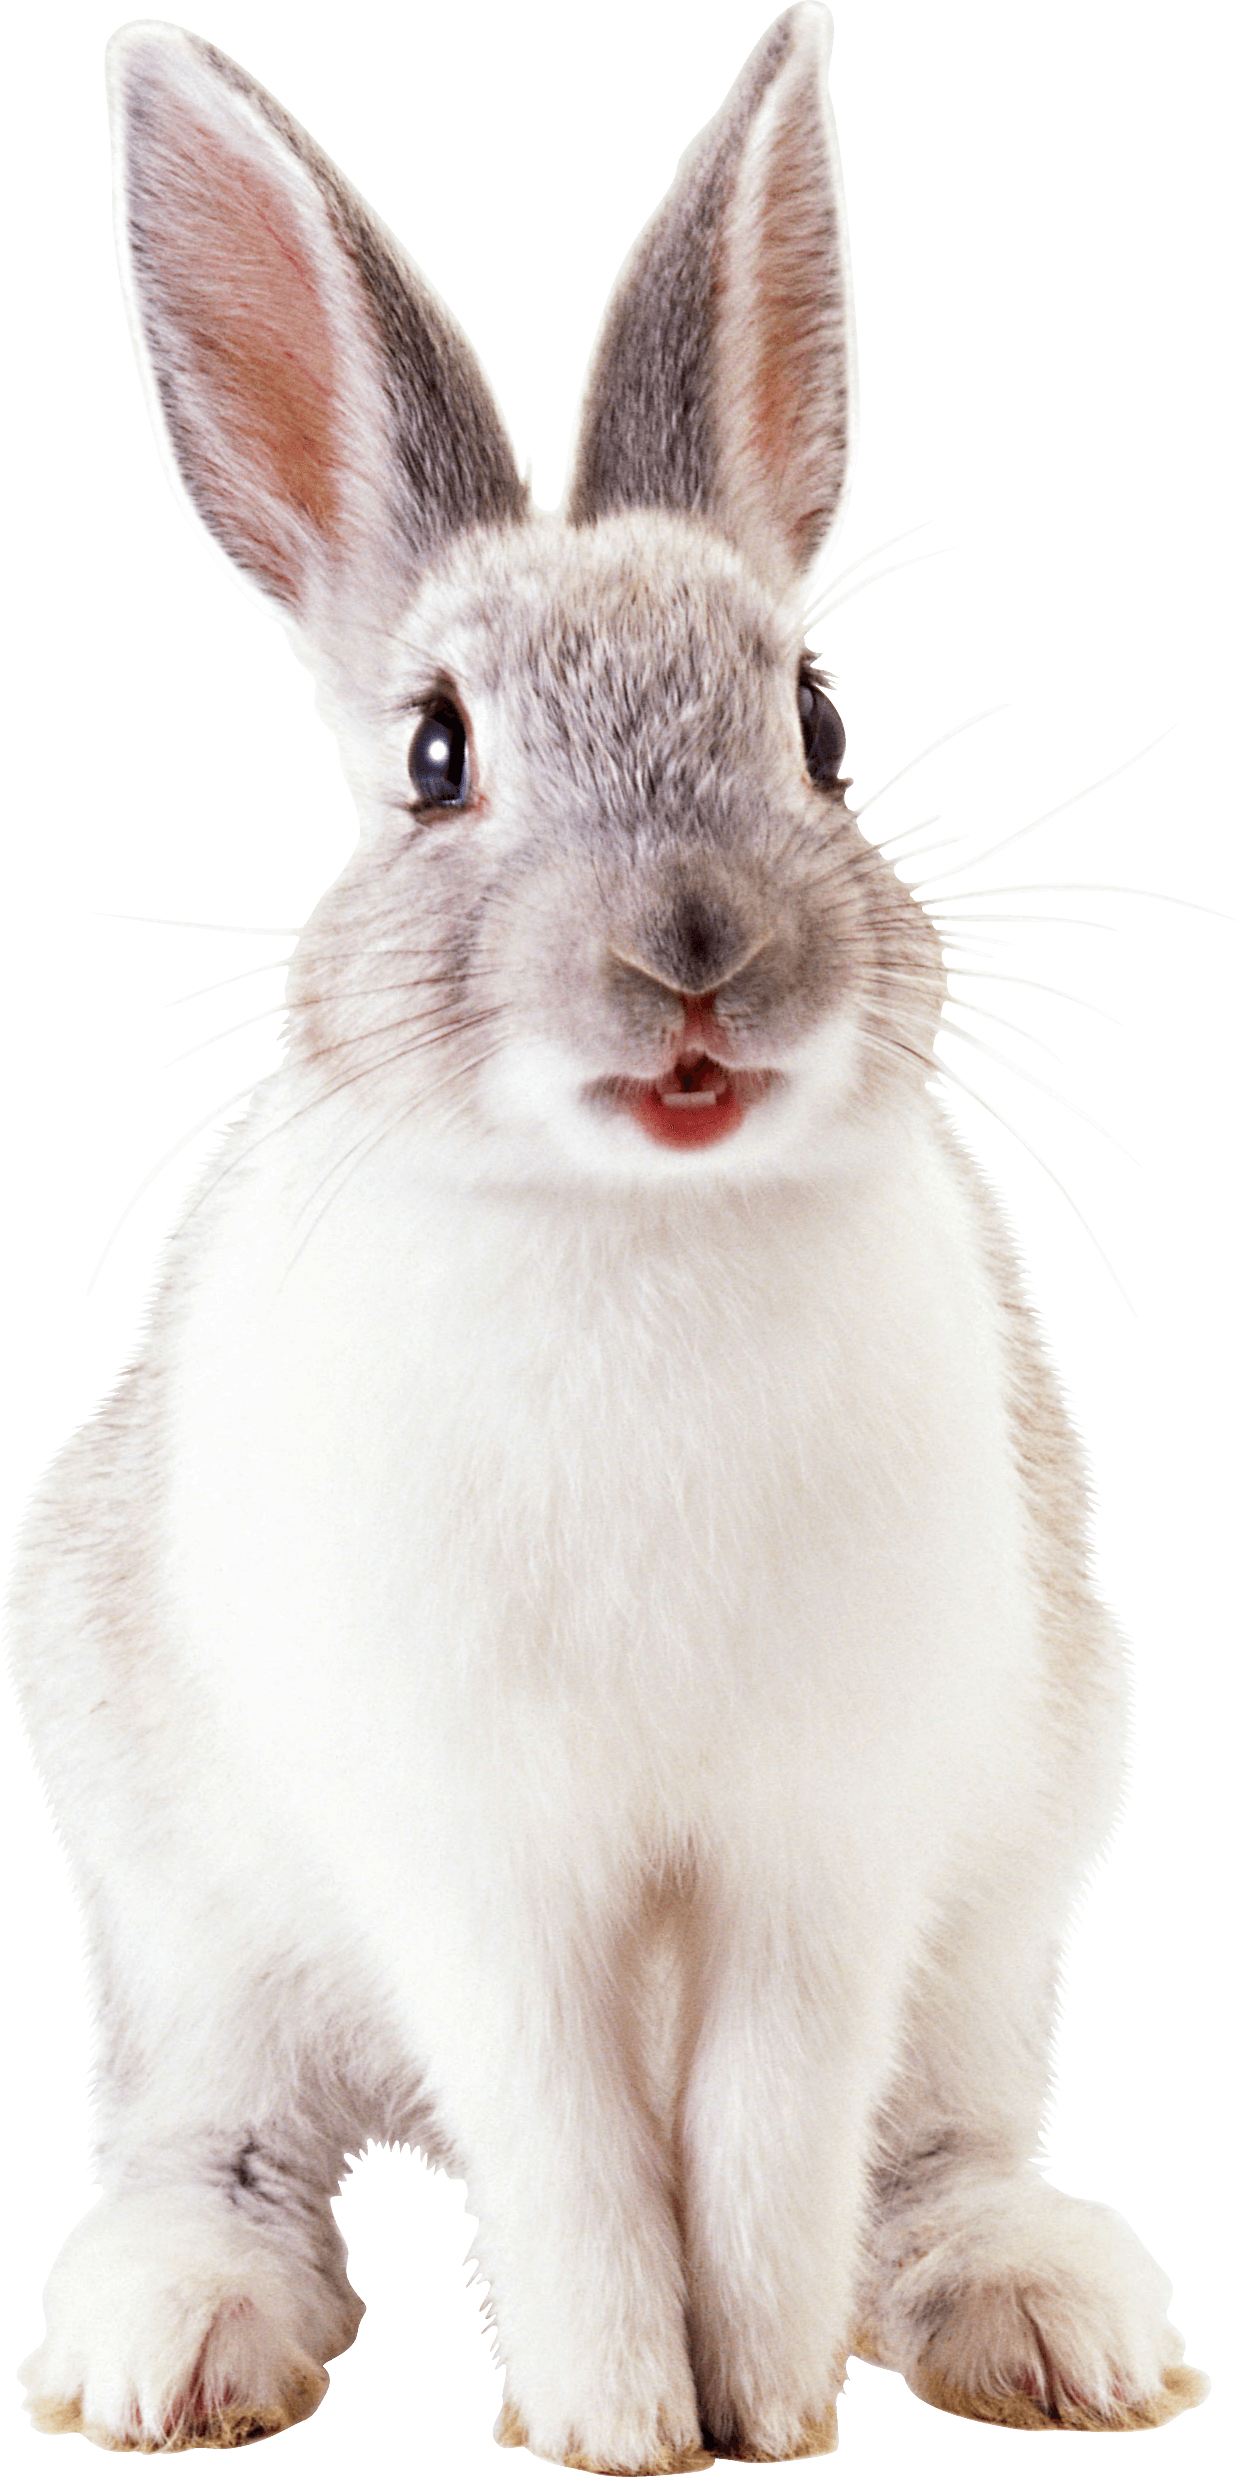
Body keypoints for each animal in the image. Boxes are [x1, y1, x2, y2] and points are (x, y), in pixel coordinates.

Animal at [6, 3, 1211, 2466]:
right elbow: (572, 2155)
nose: (694, 955)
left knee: (933, 2148)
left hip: (1013, 1889)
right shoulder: (483, 1862)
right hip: (175, 1916)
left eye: (822, 723)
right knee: (214, 2141)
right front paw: (614, 2426)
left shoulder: (820, 1853)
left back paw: (1050, 2323)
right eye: (431, 756)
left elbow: (759, 2156)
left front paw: (760, 2418)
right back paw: (172, 2344)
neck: (637, 1230)